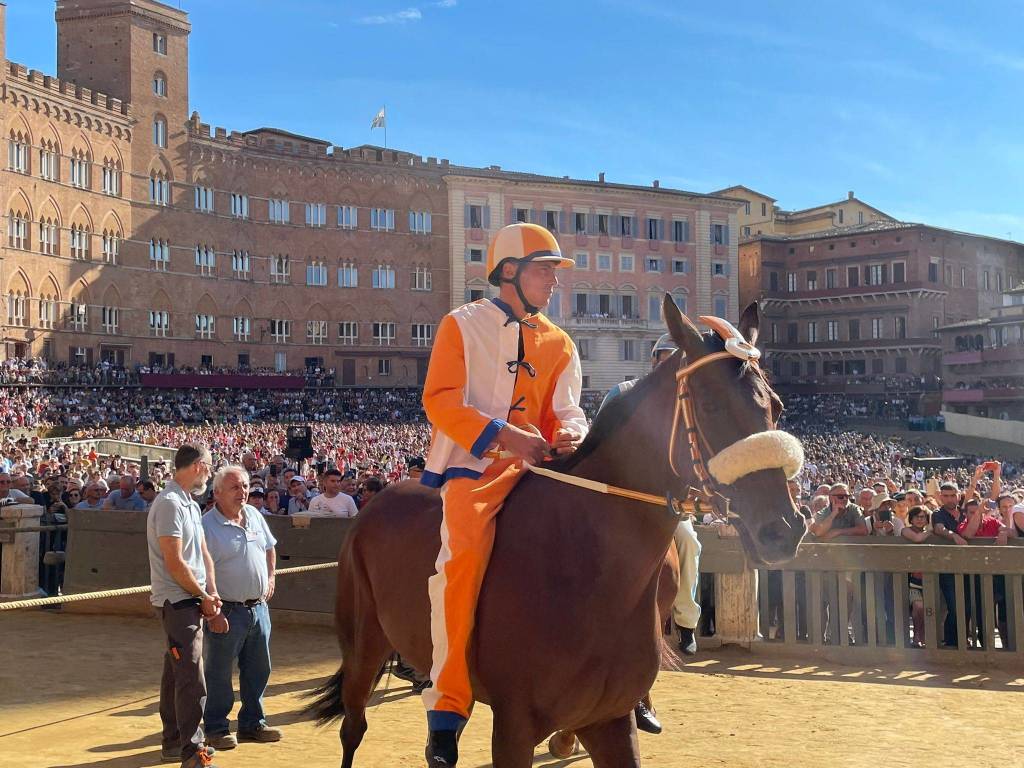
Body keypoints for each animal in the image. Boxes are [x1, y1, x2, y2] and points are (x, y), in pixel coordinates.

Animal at [303, 296, 798, 768]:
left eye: (776, 406)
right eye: (710, 403)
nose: (784, 527)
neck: (588, 568)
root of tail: (378, 500)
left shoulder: (610, 719)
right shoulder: (514, 726)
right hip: (362, 645)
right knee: (353, 727)